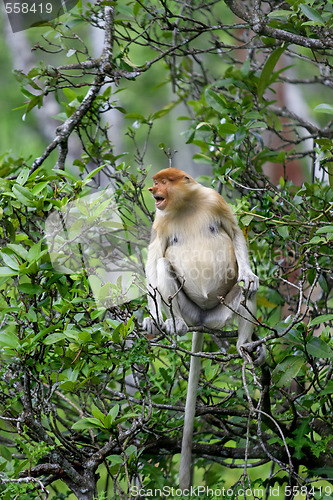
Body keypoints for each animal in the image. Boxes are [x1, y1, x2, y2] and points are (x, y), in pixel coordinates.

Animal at [142, 170, 264, 490]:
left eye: (162, 182)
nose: (151, 190)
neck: (185, 205)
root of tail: (203, 318)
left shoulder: (213, 200)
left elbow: (234, 231)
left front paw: (250, 274)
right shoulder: (160, 222)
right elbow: (154, 260)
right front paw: (151, 319)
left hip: (222, 310)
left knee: (246, 290)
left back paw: (244, 347)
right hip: (187, 307)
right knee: (163, 264)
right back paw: (174, 324)